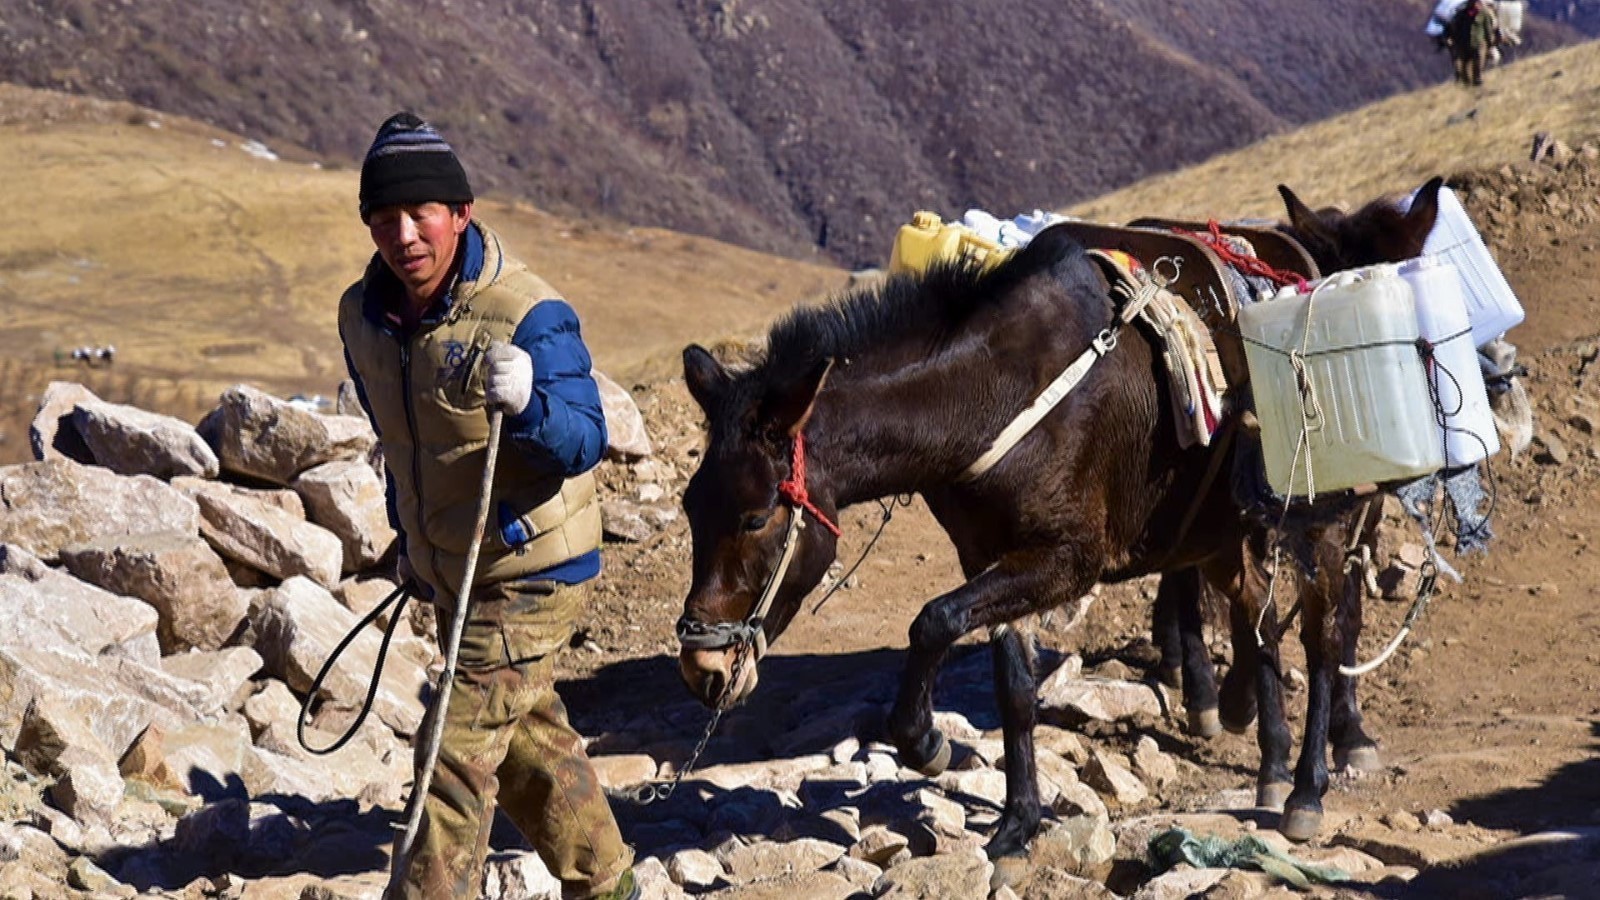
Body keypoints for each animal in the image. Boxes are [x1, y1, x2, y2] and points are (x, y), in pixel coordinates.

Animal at [675, 178, 1452, 858]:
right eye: (689, 508)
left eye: (754, 518)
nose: (703, 667)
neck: (994, 392)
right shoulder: (994, 557)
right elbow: (1013, 688)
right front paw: (1017, 825)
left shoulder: (1067, 561)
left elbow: (932, 621)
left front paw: (927, 744)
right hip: (1224, 530)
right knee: (1259, 614)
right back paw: (1264, 758)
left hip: (1322, 521)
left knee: (1325, 636)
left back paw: (1305, 791)